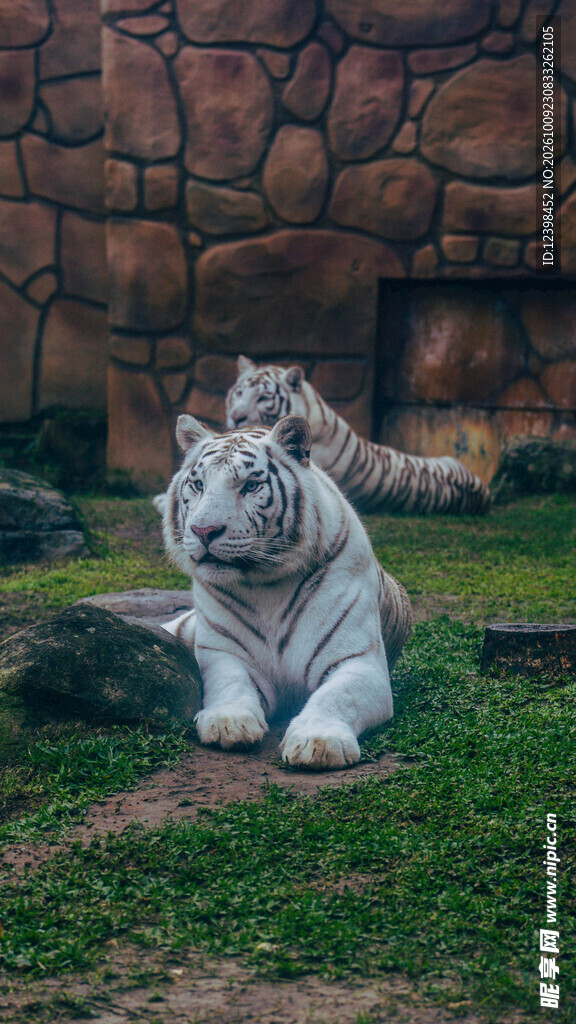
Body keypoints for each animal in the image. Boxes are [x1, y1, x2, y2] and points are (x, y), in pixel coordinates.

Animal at [162, 412, 412, 769]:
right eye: (198, 485)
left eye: (250, 485)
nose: (204, 531)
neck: (265, 585)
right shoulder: (224, 652)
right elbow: (230, 682)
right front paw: (228, 722)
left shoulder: (360, 662)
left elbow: (337, 697)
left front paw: (319, 742)